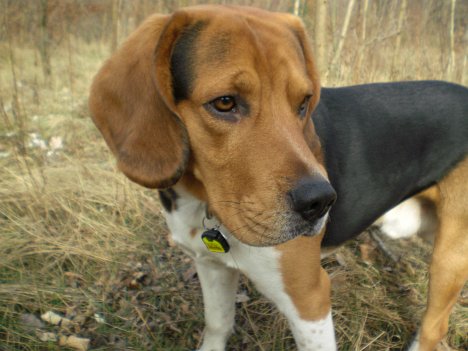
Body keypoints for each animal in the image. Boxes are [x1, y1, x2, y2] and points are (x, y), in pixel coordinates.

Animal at [88, 4, 468, 350]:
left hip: (449, 259)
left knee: (434, 327)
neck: (205, 202)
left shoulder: (308, 299)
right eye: (224, 103)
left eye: (303, 102)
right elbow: (217, 325)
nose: (321, 203)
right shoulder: (211, 266)